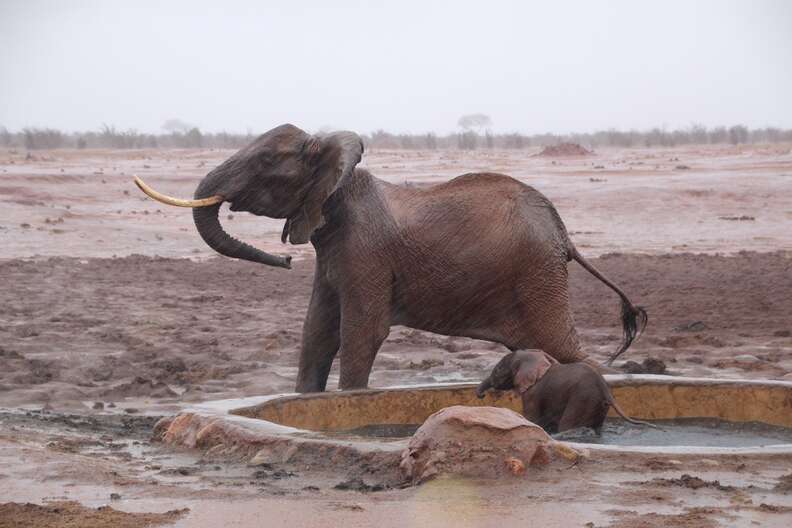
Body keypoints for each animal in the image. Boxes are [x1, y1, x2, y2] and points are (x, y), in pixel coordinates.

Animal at [135, 125, 644, 392]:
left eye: (264, 164)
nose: (283, 262)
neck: (338, 173)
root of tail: (564, 235)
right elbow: (317, 331)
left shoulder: (366, 253)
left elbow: (360, 331)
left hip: (538, 275)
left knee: (565, 347)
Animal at [476, 350, 656, 434]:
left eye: (498, 370)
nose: (481, 395)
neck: (533, 356)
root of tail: (606, 391)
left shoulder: (533, 393)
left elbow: (533, 418)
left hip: (582, 400)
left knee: (568, 425)